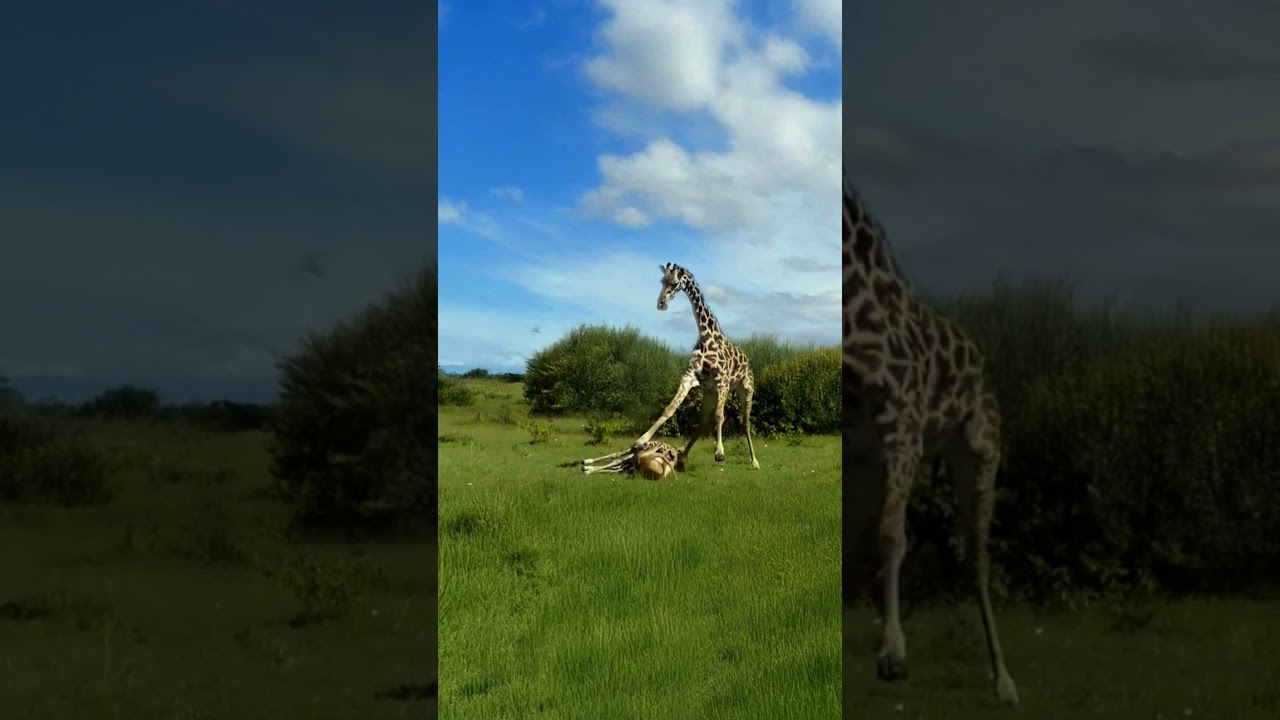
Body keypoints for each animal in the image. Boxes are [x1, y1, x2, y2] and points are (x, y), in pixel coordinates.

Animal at [634, 263, 761, 470]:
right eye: (662, 281)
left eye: (674, 283)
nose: (661, 303)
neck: (706, 335)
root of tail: (748, 362)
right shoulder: (690, 377)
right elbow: (670, 408)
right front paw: (641, 440)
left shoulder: (722, 381)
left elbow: (720, 416)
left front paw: (720, 452)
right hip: (710, 393)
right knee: (702, 422)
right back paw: (683, 455)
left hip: (745, 390)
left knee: (745, 424)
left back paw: (754, 462)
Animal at [842, 167, 1019, 705]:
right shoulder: (857, 446)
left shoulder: (903, 427)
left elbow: (891, 535)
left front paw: (893, 652)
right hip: (874, 464)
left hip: (979, 453)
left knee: (977, 559)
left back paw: (1004, 682)